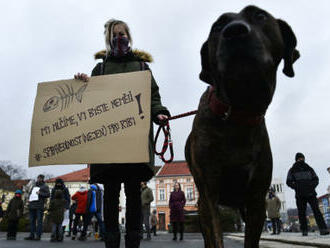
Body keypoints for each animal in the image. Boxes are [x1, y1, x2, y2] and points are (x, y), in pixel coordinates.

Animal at [186, 5, 300, 248]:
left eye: (260, 15)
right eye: (217, 26)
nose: (234, 31)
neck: (238, 114)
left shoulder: (256, 198)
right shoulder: (210, 194)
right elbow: (216, 235)